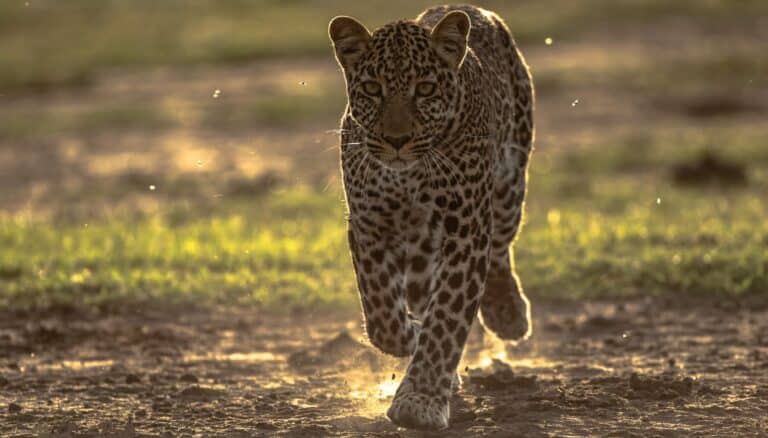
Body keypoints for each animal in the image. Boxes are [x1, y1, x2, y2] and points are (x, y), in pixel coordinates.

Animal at [329, 4, 534, 430]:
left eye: (424, 89)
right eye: (372, 89)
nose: (396, 140)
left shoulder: (467, 230)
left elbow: (447, 318)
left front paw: (420, 400)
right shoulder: (369, 224)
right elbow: (383, 319)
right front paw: (412, 338)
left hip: (509, 187)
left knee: (500, 251)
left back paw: (508, 314)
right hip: (423, 241)